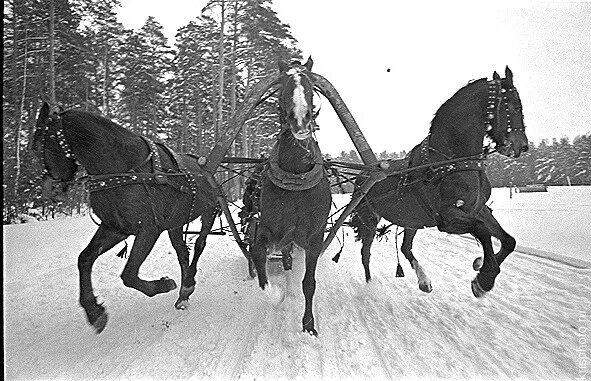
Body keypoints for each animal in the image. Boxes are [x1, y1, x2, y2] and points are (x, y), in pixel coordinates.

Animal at [31, 102, 220, 332]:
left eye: (41, 146)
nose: (48, 190)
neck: (121, 169)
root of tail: (206, 169)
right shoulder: (115, 227)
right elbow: (84, 258)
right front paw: (94, 311)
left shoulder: (149, 229)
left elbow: (128, 274)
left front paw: (163, 284)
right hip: (175, 224)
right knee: (182, 252)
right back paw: (184, 292)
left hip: (209, 211)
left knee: (200, 244)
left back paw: (188, 282)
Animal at [249, 57, 332, 336]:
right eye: (282, 87)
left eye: (311, 87)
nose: (299, 119)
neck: (296, 176)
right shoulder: (270, 228)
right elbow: (257, 251)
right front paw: (276, 294)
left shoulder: (314, 238)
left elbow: (309, 282)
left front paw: (308, 324)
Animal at [350, 67, 528, 296]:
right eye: (514, 106)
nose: (522, 146)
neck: (452, 162)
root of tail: (362, 175)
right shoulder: (448, 218)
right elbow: (482, 230)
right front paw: (484, 277)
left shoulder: (478, 208)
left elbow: (508, 240)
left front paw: (480, 264)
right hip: (369, 220)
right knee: (366, 253)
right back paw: (370, 285)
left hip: (411, 220)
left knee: (405, 247)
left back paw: (423, 280)